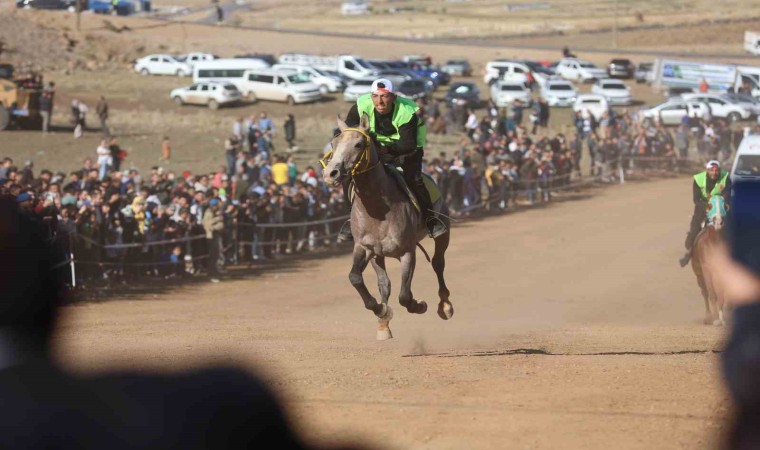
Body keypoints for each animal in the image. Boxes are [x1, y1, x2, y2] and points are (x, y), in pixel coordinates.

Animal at [322, 114, 454, 340]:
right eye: (334, 143)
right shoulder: (366, 248)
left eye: (358, 144)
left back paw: (445, 305)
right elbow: (356, 278)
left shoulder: (407, 251)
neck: (378, 208)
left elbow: (405, 295)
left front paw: (419, 305)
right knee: (385, 284)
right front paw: (381, 311)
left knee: (438, 263)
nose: (331, 173)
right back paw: (383, 324)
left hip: (443, 231)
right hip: (378, 255)